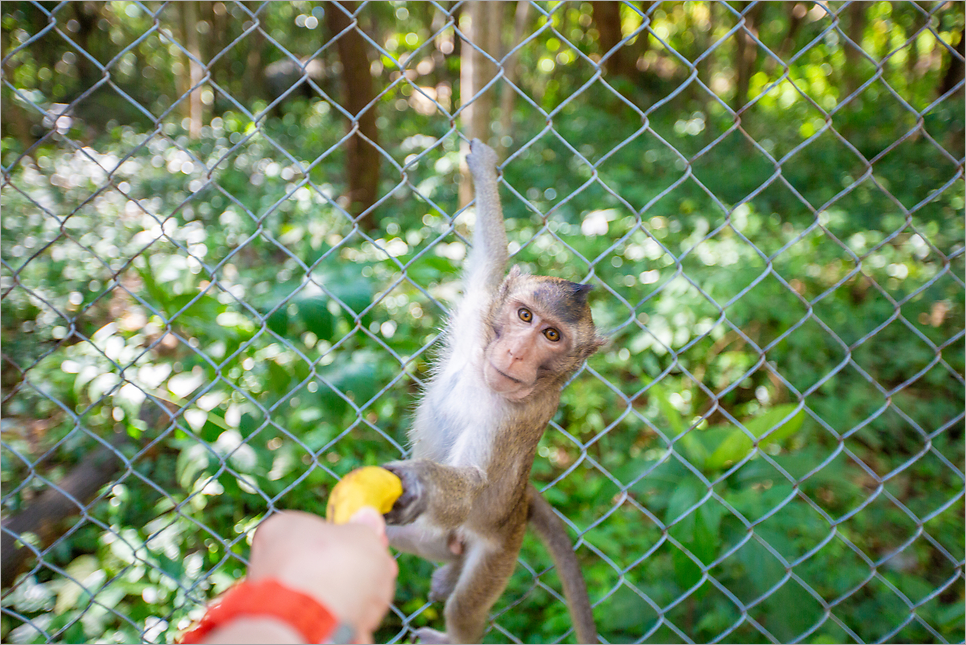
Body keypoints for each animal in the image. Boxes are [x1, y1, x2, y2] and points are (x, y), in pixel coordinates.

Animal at [386, 138, 604, 640]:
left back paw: (449, 624)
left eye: (551, 336)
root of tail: (520, 506)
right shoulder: (481, 311)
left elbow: (471, 483)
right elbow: (492, 255)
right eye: (524, 316)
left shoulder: (516, 417)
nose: (518, 353)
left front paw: (419, 480)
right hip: (436, 535)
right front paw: (483, 166)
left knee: (465, 610)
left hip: (500, 550)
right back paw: (446, 567)